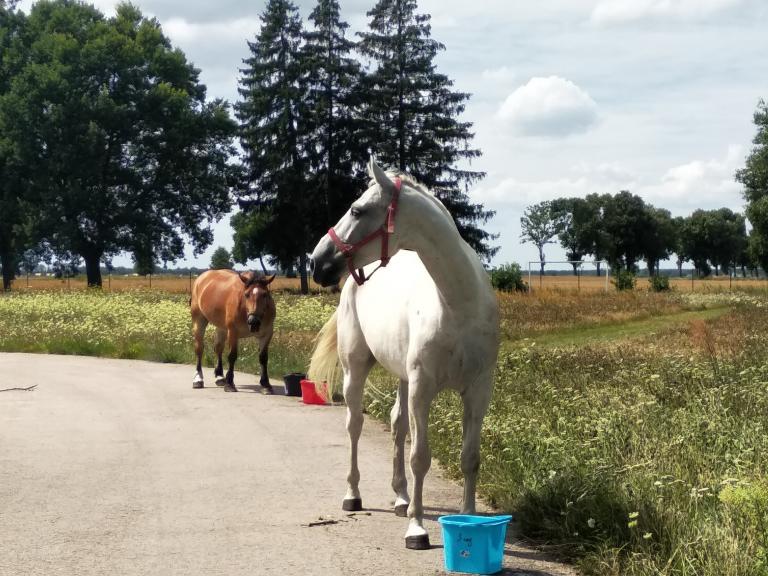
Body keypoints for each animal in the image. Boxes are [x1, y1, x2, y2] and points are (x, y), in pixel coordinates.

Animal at [308, 156, 500, 548]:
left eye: (357, 210)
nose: (317, 262)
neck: (458, 304)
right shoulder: (422, 389)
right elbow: (420, 457)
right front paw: (417, 529)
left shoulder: (478, 390)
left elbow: (470, 457)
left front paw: (470, 519)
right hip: (356, 369)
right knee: (354, 425)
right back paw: (353, 496)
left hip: (402, 378)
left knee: (396, 425)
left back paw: (400, 497)